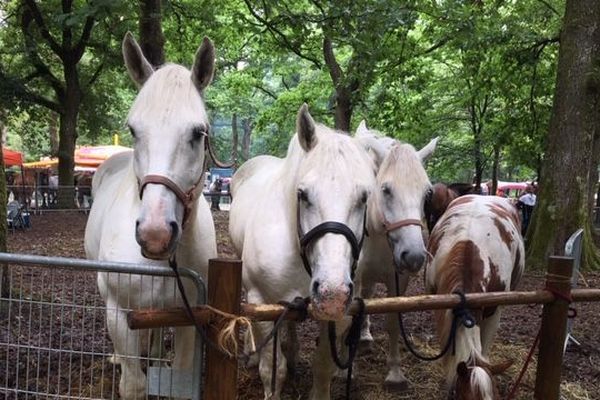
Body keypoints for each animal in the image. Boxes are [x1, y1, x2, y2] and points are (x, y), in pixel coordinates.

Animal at [83, 33, 216, 400]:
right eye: (133, 130)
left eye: (198, 133)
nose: (155, 234)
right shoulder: (118, 310)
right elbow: (133, 384)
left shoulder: (190, 317)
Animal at [229, 104, 376, 398]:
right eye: (303, 194)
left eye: (364, 197)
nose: (332, 292)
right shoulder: (263, 303)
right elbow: (272, 370)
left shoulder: (340, 313)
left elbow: (323, 367)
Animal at [354, 122, 438, 390]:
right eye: (386, 190)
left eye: (427, 193)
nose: (413, 256)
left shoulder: (398, 281)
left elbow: (392, 322)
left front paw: (395, 374)